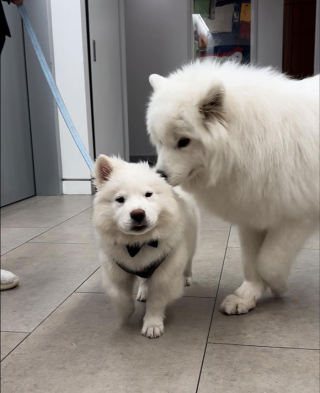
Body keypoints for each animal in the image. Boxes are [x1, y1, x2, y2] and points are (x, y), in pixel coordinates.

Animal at [92, 155, 200, 336]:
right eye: (120, 199)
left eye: (148, 194)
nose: (138, 214)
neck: (138, 244)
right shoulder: (115, 271)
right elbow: (120, 296)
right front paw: (125, 314)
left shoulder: (165, 273)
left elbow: (156, 301)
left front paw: (152, 324)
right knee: (143, 279)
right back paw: (143, 291)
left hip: (192, 242)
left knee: (189, 261)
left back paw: (186, 277)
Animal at [146, 59, 318, 316]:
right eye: (159, 141)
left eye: (184, 142)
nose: (160, 176)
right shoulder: (252, 215)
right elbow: (252, 262)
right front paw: (247, 297)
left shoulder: (298, 217)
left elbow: (269, 262)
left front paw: (279, 286)